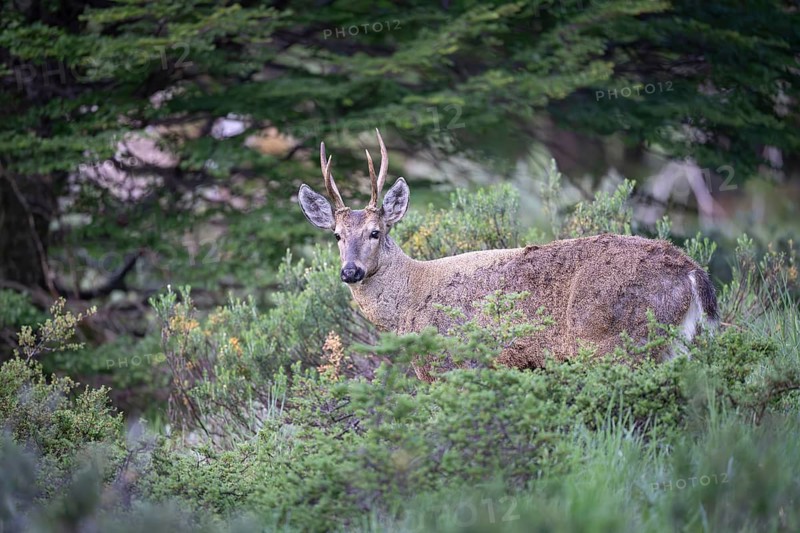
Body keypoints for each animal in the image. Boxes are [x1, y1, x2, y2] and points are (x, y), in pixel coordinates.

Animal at [297, 130, 719, 382]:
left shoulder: (449, 364)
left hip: (617, 340)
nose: (351, 271)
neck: (409, 301)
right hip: (676, 344)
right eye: (336, 236)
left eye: (376, 231)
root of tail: (691, 271)